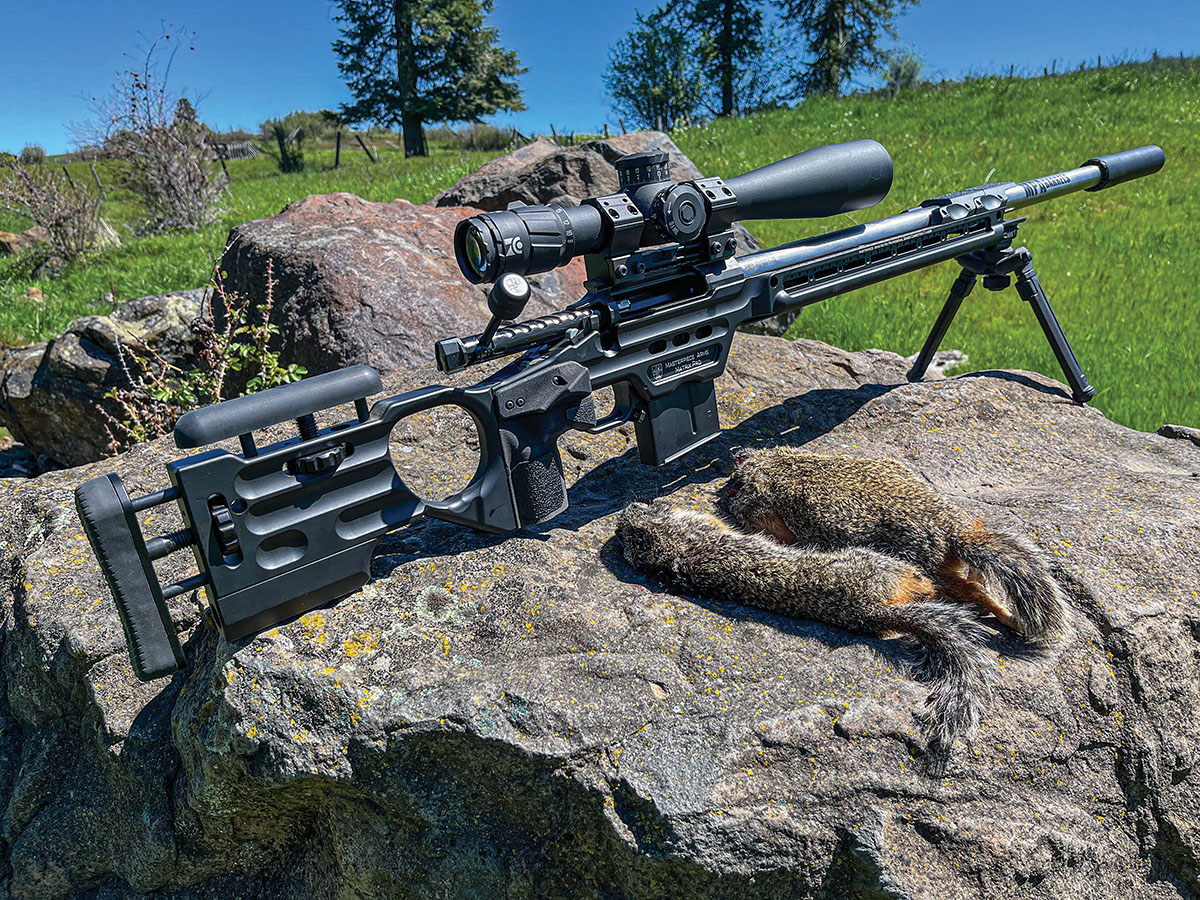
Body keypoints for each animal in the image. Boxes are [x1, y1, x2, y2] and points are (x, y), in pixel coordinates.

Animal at [615, 500, 994, 769]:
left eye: (629, 535)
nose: (625, 513)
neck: (674, 546)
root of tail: (873, 612)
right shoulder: (699, 525)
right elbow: (718, 521)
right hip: (879, 563)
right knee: (924, 584)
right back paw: (929, 584)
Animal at [716, 448, 1071, 648]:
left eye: (734, 484)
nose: (724, 490)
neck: (778, 462)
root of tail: (954, 530)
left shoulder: (762, 508)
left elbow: (771, 530)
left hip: (923, 564)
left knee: (969, 594)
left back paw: (1002, 614)